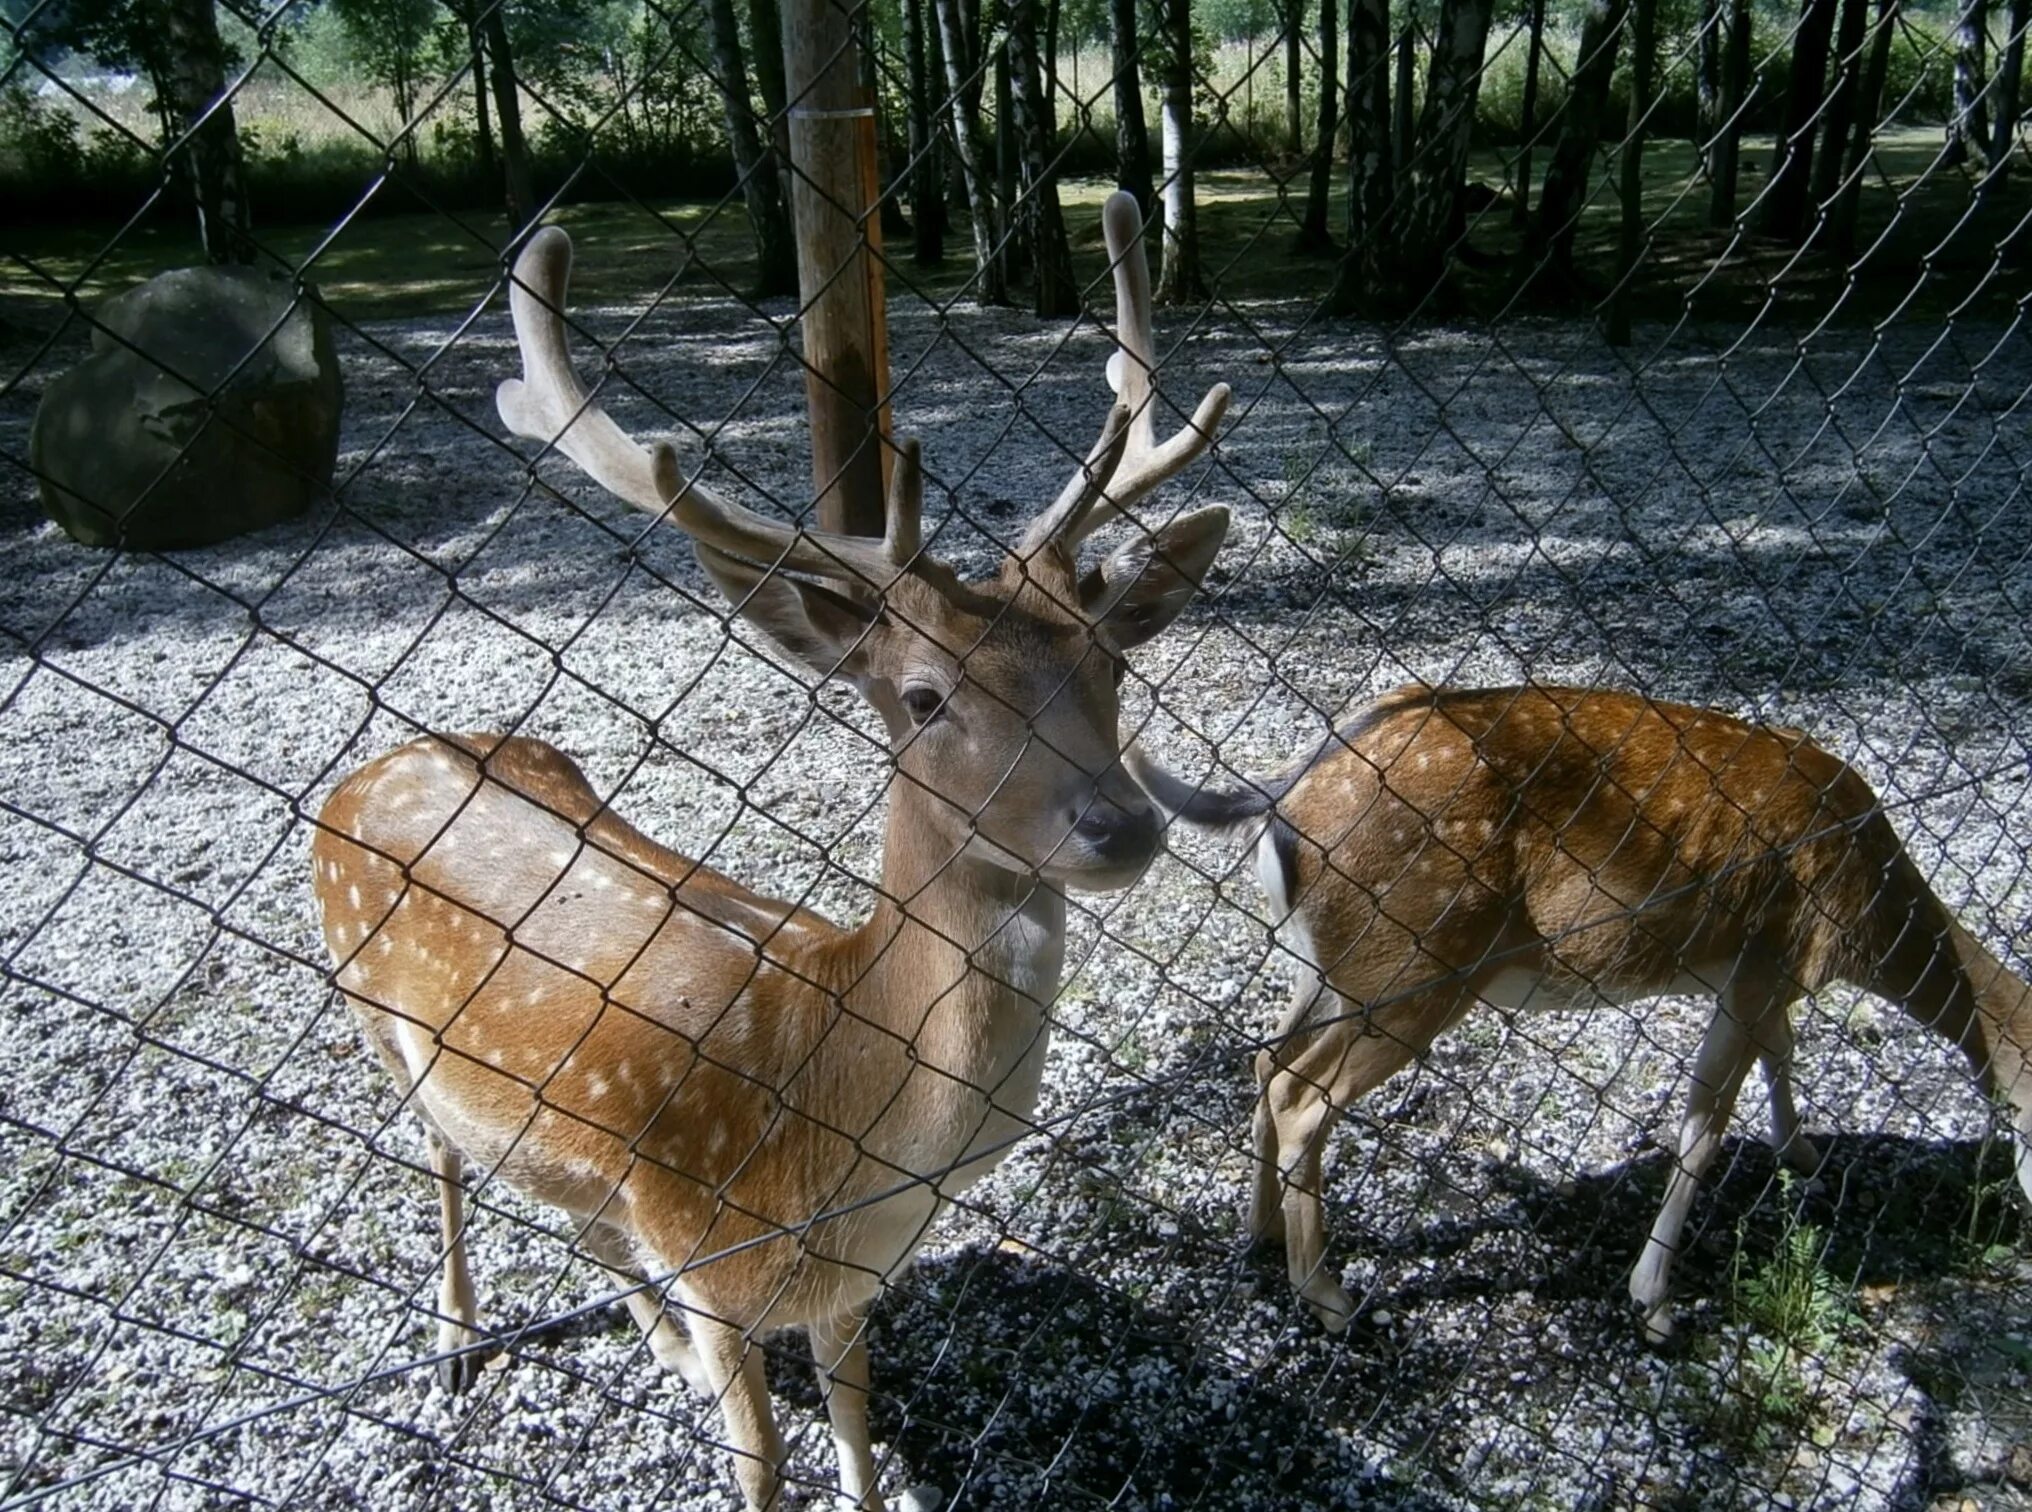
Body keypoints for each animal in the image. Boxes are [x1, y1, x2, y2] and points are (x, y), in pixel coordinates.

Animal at [308, 192, 1227, 1512]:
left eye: (1109, 661)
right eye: (922, 698)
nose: (1121, 824)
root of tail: (379, 760)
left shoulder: (844, 1290)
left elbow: (853, 1422)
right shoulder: (711, 1253)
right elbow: (761, 1464)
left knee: (570, 1203)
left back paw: (654, 1345)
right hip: (370, 1015)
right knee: (437, 1153)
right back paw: (457, 1340)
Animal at [1137, 686, 2032, 1333]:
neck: (1870, 911)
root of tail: (1279, 802)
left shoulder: (1755, 977)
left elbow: (1779, 1056)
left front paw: (1803, 1153)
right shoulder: (1766, 959)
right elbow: (1704, 1129)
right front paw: (1655, 1303)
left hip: (1331, 965)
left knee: (1266, 1059)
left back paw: (1257, 1233)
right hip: (1415, 961)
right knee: (1303, 1095)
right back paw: (1329, 1299)